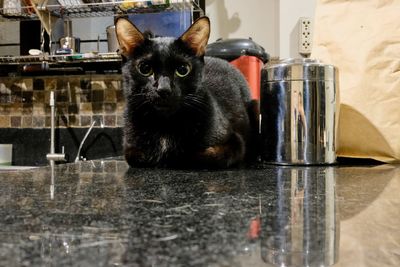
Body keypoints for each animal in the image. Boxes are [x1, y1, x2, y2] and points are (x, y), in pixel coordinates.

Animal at [115, 16, 260, 169]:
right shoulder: (130, 149)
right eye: (145, 68)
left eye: (182, 70)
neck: (164, 124)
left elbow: (194, 156)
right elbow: (138, 156)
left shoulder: (234, 142)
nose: (163, 89)